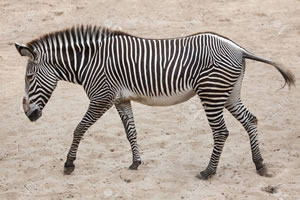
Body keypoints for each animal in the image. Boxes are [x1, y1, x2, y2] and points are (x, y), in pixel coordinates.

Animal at [15, 25, 294, 180]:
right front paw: (135, 162)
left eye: (28, 77)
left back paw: (208, 172)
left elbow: (79, 128)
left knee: (221, 132)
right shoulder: (121, 99)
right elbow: (131, 132)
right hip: (229, 93)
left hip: (211, 93)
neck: (89, 62)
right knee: (251, 120)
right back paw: (259, 164)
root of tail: (238, 49)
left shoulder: (101, 97)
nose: (29, 115)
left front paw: (69, 164)